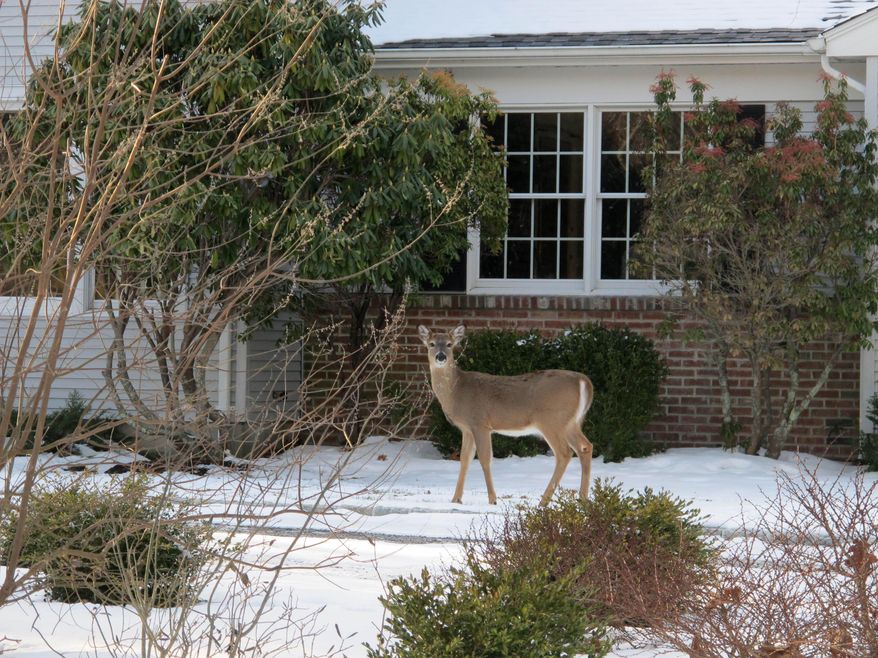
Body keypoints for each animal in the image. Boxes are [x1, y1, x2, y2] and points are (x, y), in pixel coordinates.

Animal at [418, 324, 594, 506]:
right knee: (585, 447)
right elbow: (464, 459)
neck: (456, 391)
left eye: (449, 344)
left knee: (564, 453)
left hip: (552, 421)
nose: (441, 356)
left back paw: (544, 501)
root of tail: (584, 381)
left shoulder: (480, 422)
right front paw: (456, 499)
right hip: (570, 422)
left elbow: (485, 458)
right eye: (431, 344)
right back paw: (582, 498)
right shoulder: (467, 428)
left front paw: (492, 499)